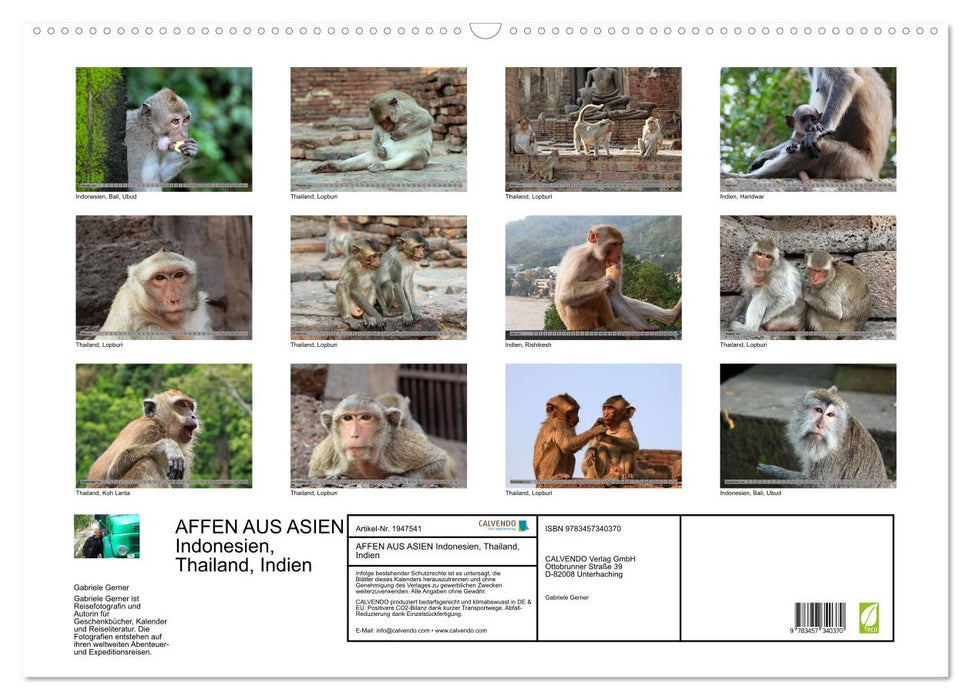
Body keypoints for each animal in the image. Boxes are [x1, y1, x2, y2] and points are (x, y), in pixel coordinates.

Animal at [307, 394, 456, 485]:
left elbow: (440, 459)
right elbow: (314, 475)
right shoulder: (327, 454)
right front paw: (335, 477)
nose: (354, 434)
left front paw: (402, 478)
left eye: (366, 418)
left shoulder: (398, 449)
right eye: (347, 418)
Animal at [743, 68, 892, 180]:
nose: (810, 125)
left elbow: (845, 78)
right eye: (804, 120)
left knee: (823, 147)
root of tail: (874, 170)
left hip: (854, 163)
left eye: (813, 119)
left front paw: (818, 131)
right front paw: (764, 156)